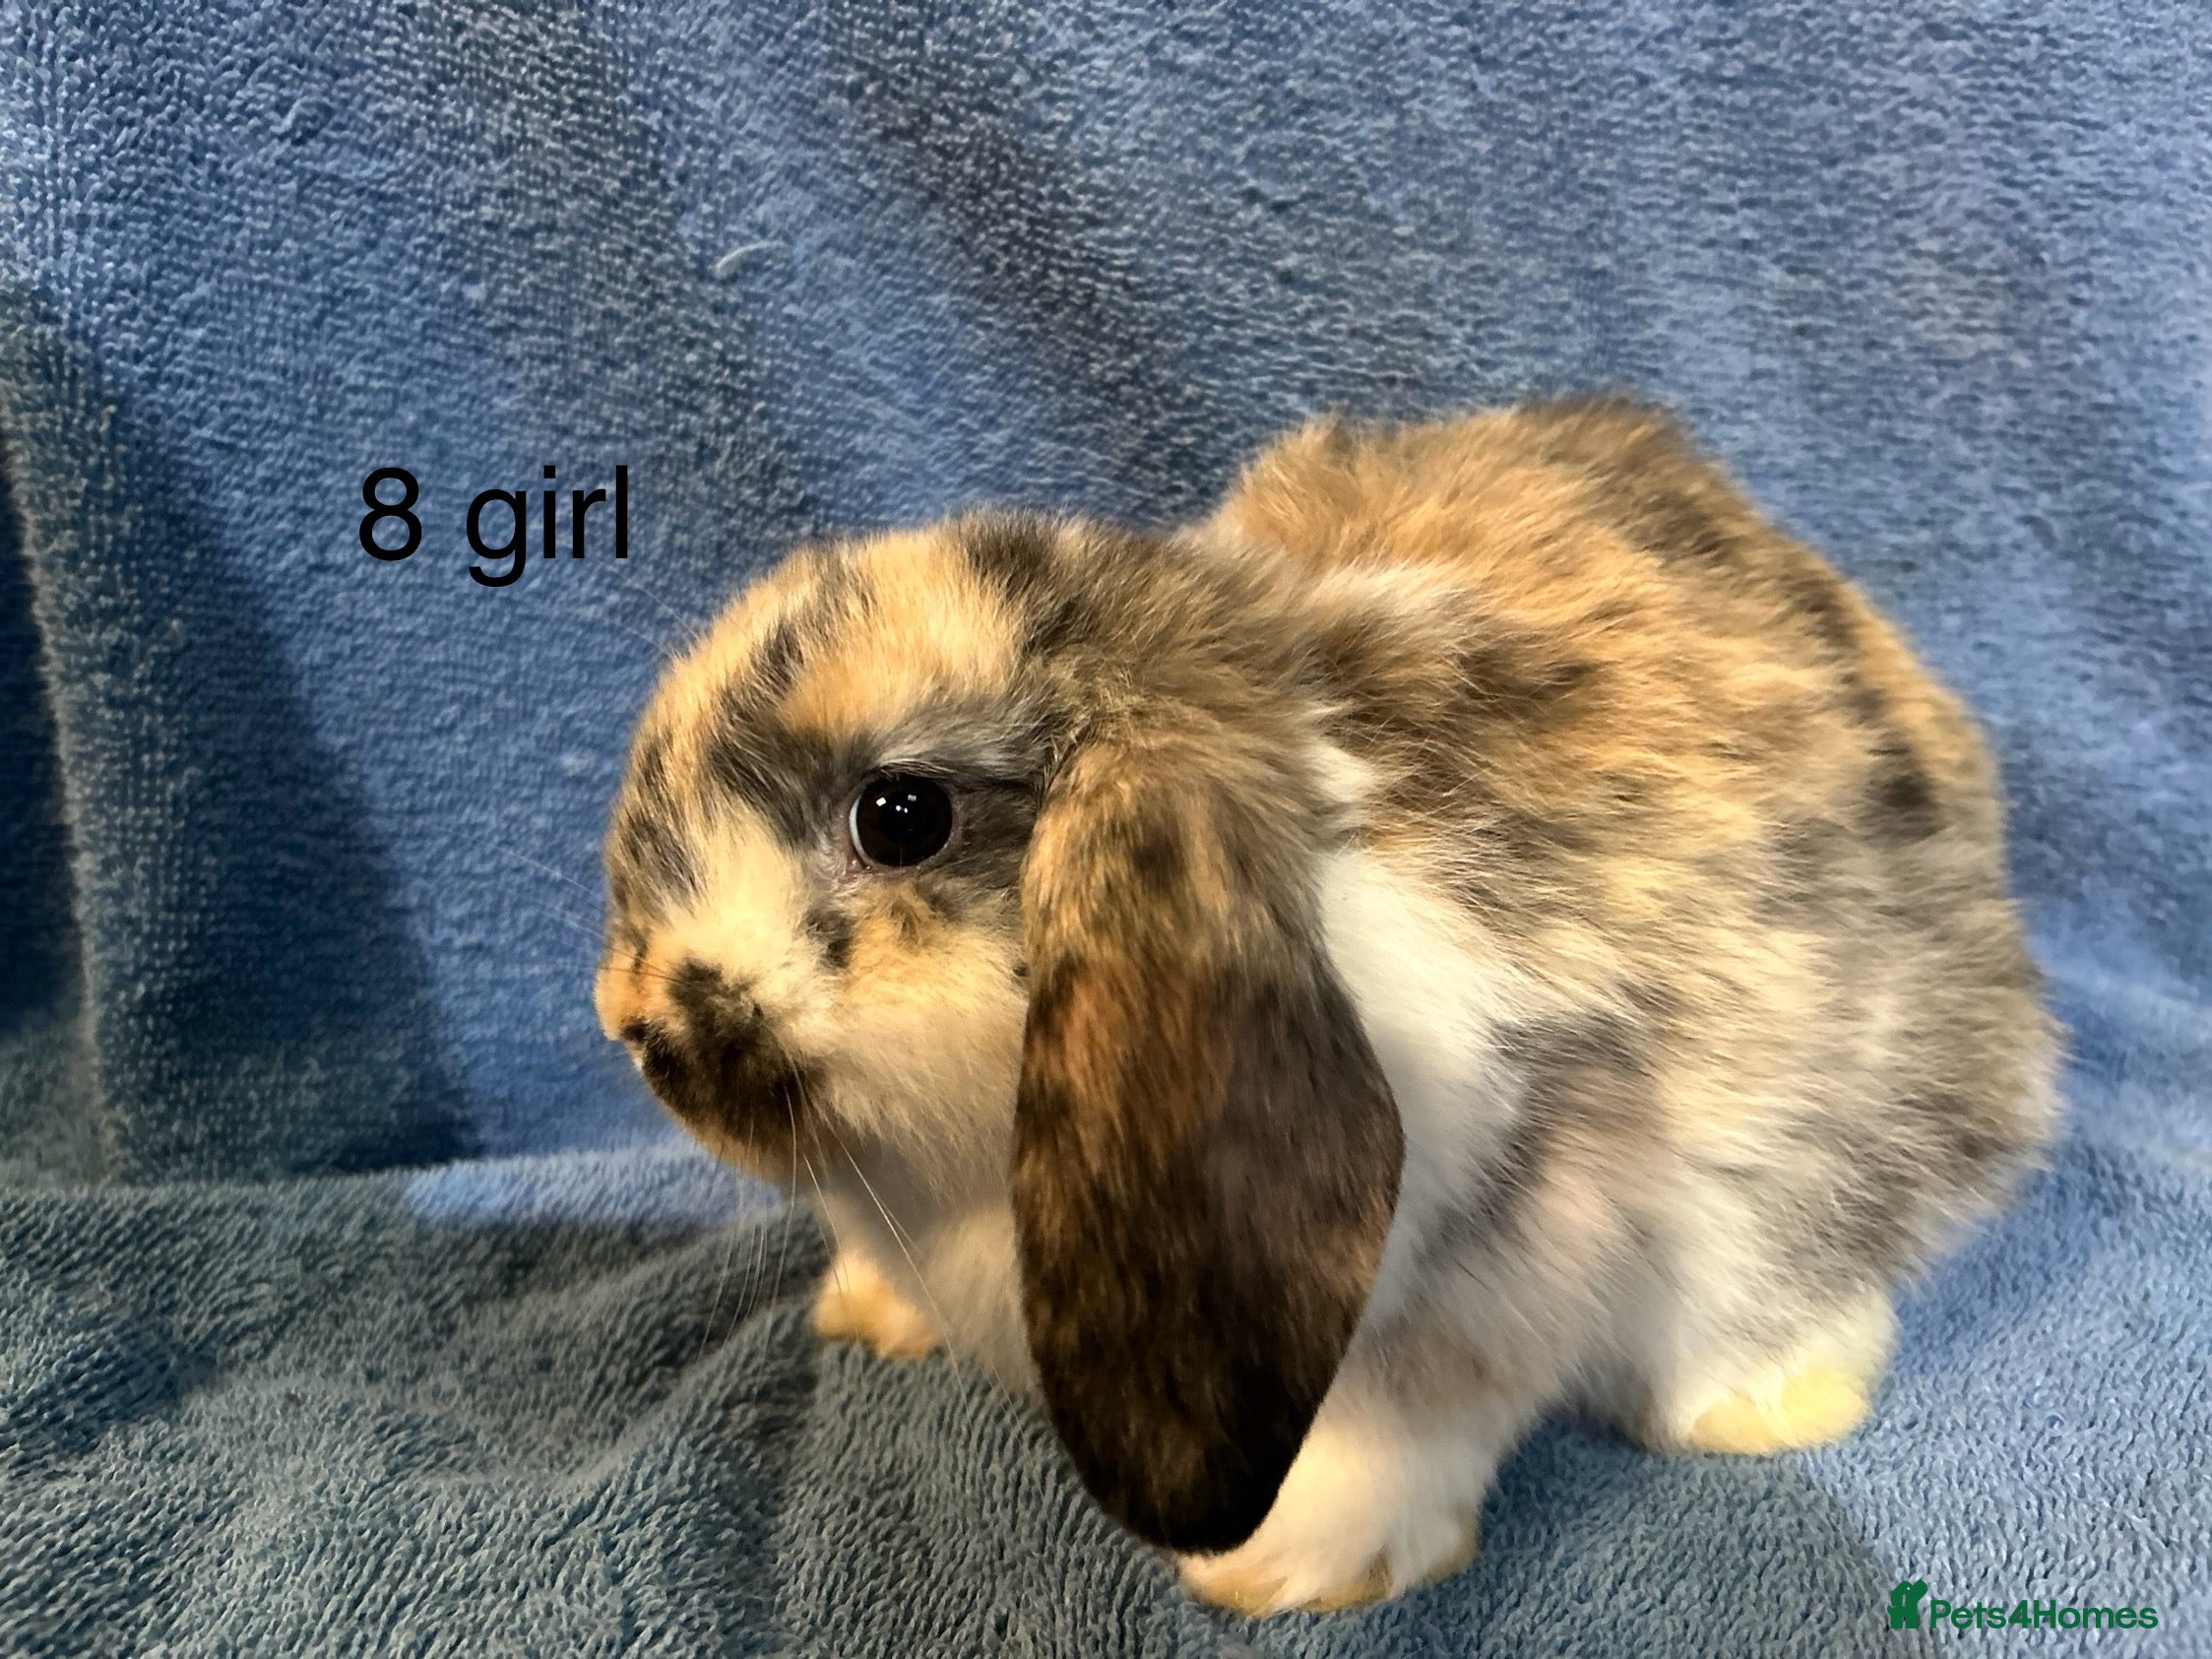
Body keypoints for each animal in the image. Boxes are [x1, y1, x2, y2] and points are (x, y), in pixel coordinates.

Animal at [593, 400, 2060, 1615]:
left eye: (898, 815)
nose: (634, 1023)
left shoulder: (1524, 1223)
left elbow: (1417, 1407)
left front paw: (1285, 1566)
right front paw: (864, 1311)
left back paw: (1764, 1401)